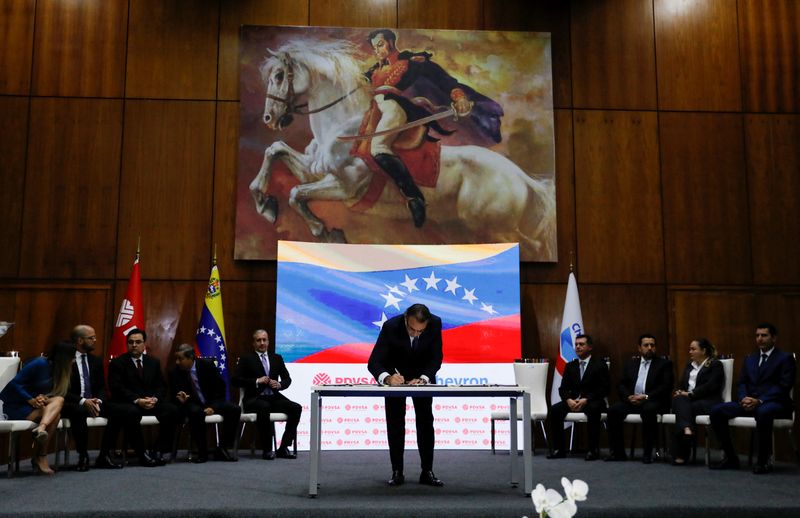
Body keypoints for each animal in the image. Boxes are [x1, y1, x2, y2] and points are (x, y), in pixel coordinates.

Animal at [250, 39, 556, 260]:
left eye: (280, 75)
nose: (269, 118)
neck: (341, 128)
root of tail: (522, 178)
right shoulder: (314, 173)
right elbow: (275, 150)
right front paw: (264, 202)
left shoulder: (345, 188)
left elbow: (294, 193)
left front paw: (321, 230)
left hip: (494, 228)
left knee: (529, 243)